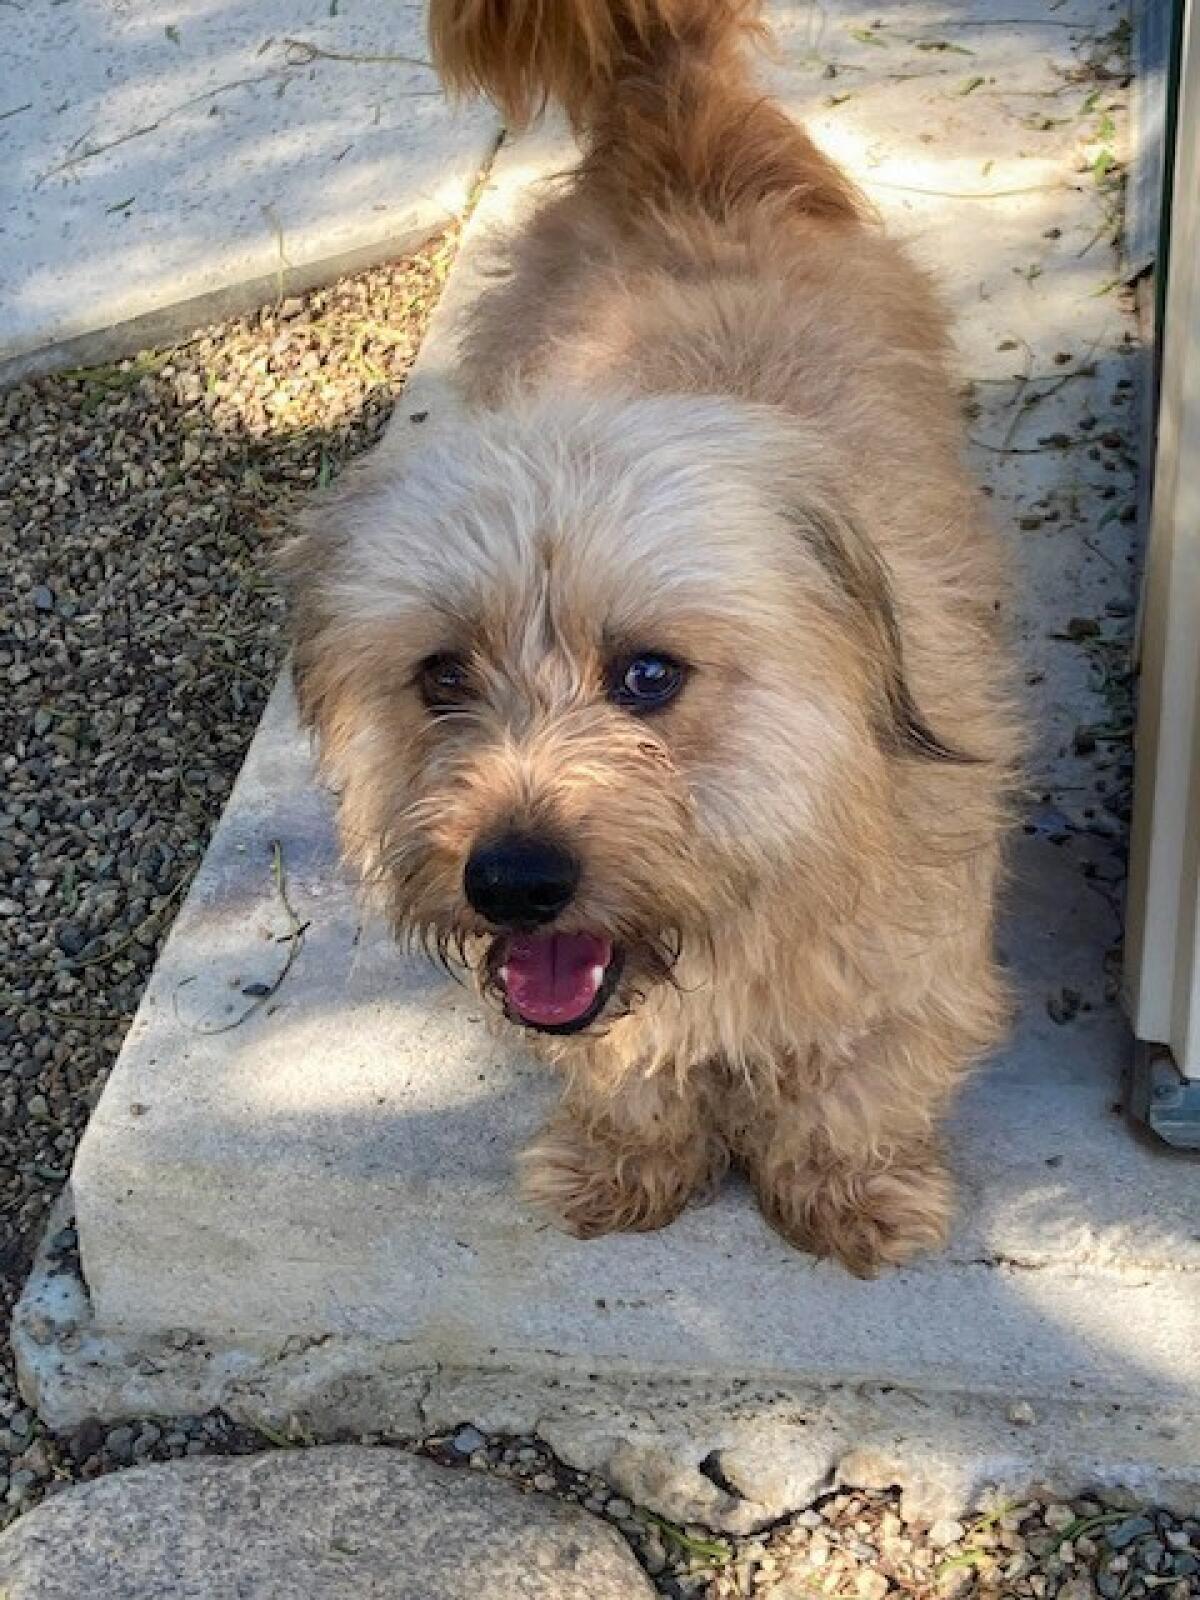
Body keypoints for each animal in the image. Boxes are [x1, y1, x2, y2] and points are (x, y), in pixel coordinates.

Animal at [284, 0, 1024, 1273]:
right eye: (440, 675)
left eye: (648, 673)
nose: (513, 882)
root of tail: (671, 105)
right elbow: (623, 1064)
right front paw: (628, 1160)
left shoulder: (914, 961)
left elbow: (858, 1074)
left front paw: (846, 1189)